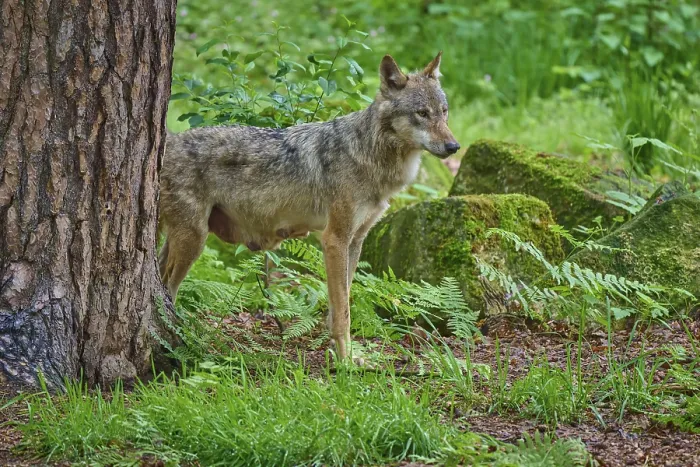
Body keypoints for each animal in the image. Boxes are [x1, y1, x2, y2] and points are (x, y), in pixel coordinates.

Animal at [158, 52, 460, 360]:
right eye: (422, 113)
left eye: (444, 111)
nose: (454, 147)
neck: (368, 154)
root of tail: (169, 140)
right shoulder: (334, 240)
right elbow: (343, 311)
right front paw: (346, 361)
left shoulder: (355, 241)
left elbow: (341, 302)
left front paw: (343, 353)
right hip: (194, 241)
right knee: (167, 288)